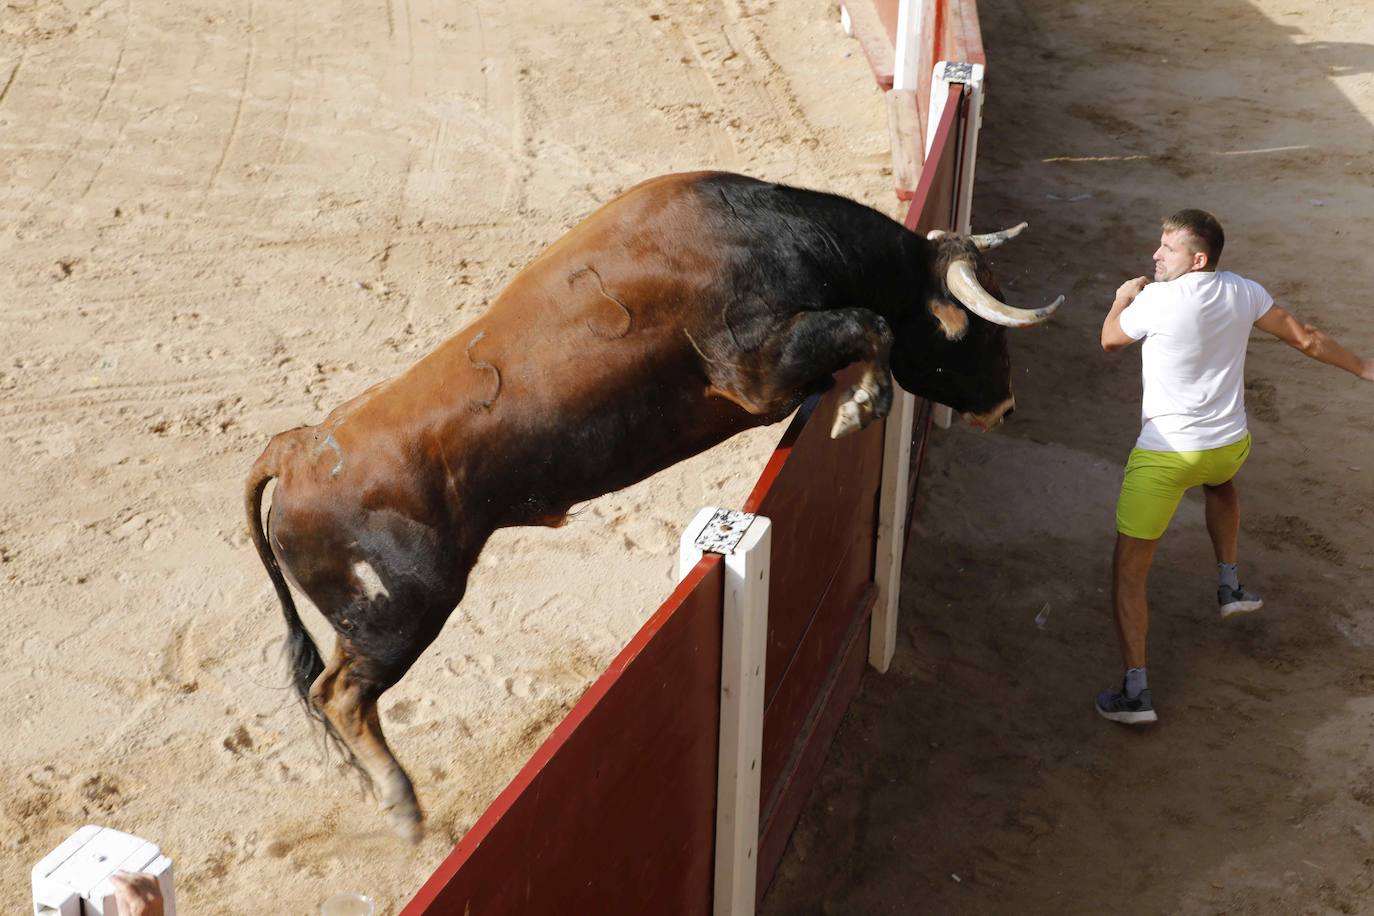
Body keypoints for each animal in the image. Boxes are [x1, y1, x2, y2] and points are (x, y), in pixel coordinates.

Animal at [244, 170, 1060, 840]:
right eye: (975, 330)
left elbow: (869, 329)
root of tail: (297, 448)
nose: (1009, 405)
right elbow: (873, 325)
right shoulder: (754, 370)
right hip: (400, 613)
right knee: (341, 695)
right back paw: (404, 807)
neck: (780, 235)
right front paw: (863, 403)